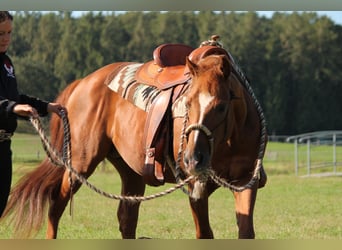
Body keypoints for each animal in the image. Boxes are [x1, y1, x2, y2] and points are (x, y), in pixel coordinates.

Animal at [1, 44, 266, 239]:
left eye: (221, 106)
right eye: (187, 103)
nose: (193, 159)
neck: (229, 141)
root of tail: (82, 83)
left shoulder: (246, 182)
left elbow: (246, 232)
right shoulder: (196, 188)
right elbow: (205, 234)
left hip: (131, 173)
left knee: (127, 219)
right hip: (80, 164)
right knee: (57, 205)